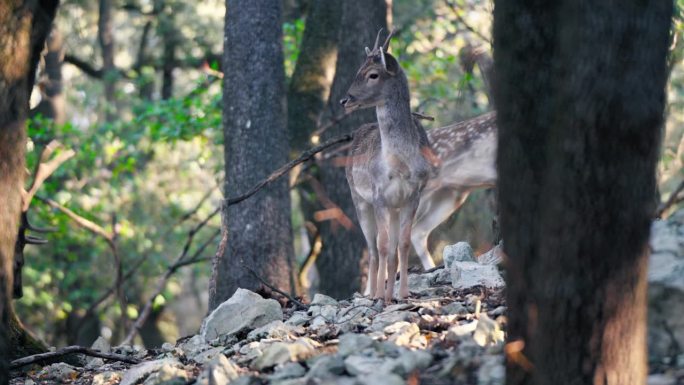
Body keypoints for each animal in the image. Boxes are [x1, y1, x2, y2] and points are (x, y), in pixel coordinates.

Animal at [340, 29, 432, 300]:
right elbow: (381, 246)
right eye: (358, 69)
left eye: (373, 74)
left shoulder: (414, 195)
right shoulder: (378, 194)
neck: (398, 165)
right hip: (358, 198)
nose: (345, 100)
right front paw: (380, 294)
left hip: (393, 207)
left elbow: (402, 243)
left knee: (389, 249)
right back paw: (373, 292)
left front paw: (403, 293)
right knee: (372, 248)